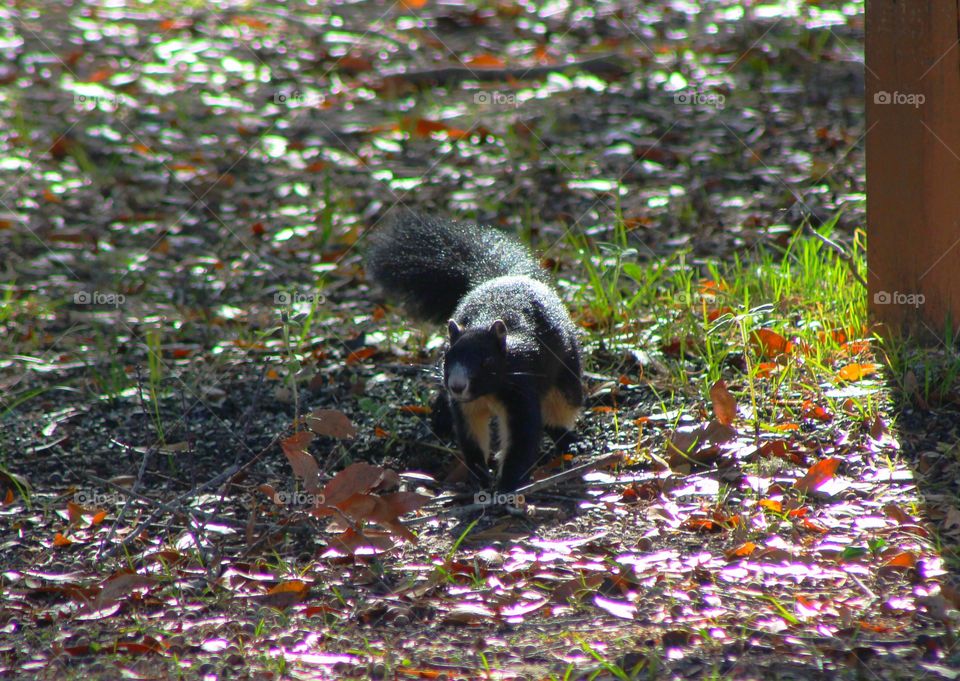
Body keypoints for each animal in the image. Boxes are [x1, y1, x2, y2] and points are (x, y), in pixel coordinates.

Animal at [364, 211, 580, 488]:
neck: (487, 392)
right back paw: (439, 420)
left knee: (561, 408)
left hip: (566, 372)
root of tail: (504, 277)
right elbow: (472, 438)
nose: (457, 385)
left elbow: (521, 441)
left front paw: (507, 484)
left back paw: (569, 440)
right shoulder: (465, 407)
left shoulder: (521, 393)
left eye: (487, 362)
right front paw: (479, 476)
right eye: (446, 358)